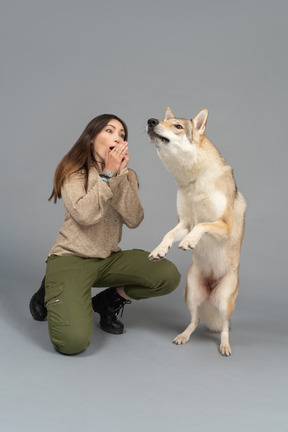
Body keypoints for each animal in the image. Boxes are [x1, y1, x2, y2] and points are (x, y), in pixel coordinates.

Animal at [147, 107, 246, 354]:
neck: (193, 180)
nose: (151, 121)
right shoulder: (184, 223)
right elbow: (169, 234)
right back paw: (183, 336)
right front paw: (159, 251)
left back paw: (225, 346)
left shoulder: (224, 226)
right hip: (191, 292)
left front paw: (189, 243)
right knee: (196, 320)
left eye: (178, 126)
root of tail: (211, 292)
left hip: (224, 302)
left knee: (225, 327)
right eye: (164, 121)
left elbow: (203, 225)